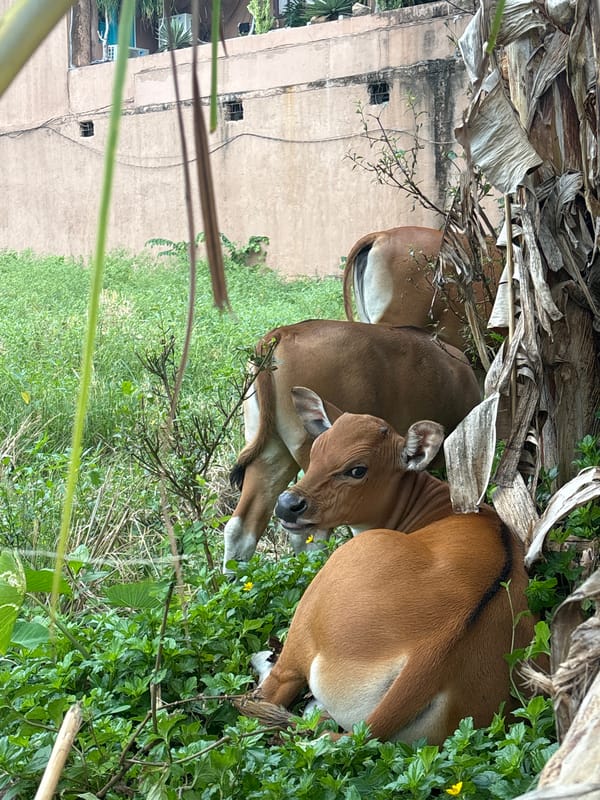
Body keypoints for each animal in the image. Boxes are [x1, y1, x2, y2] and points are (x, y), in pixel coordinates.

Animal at [235, 388, 536, 745]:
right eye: (317, 449)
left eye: (357, 469)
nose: (287, 505)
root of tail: (431, 654)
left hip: (316, 604)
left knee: (264, 695)